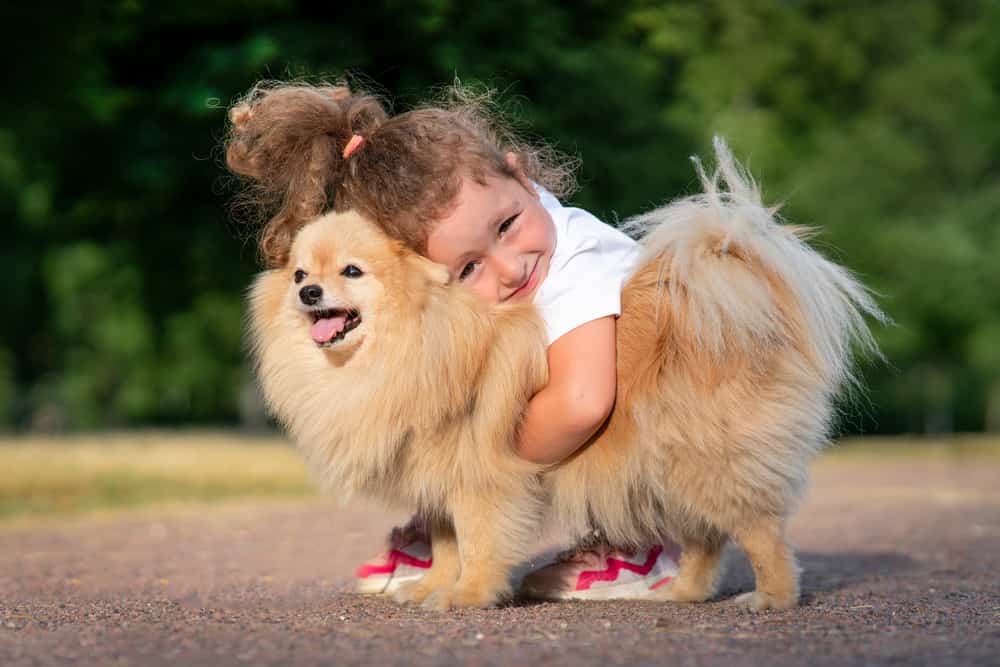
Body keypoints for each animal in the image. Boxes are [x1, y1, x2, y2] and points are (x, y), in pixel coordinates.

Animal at [248, 140, 884, 612]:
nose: (309, 292)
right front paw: (431, 586)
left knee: (758, 530)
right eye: (301, 272)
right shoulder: (440, 475)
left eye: (352, 272)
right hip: (671, 468)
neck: (421, 333)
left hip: (705, 460)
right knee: (706, 536)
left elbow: (478, 541)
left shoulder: (478, 475)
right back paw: (683, 592)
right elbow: (449, 542)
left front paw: (466, 597)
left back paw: (770, 597)